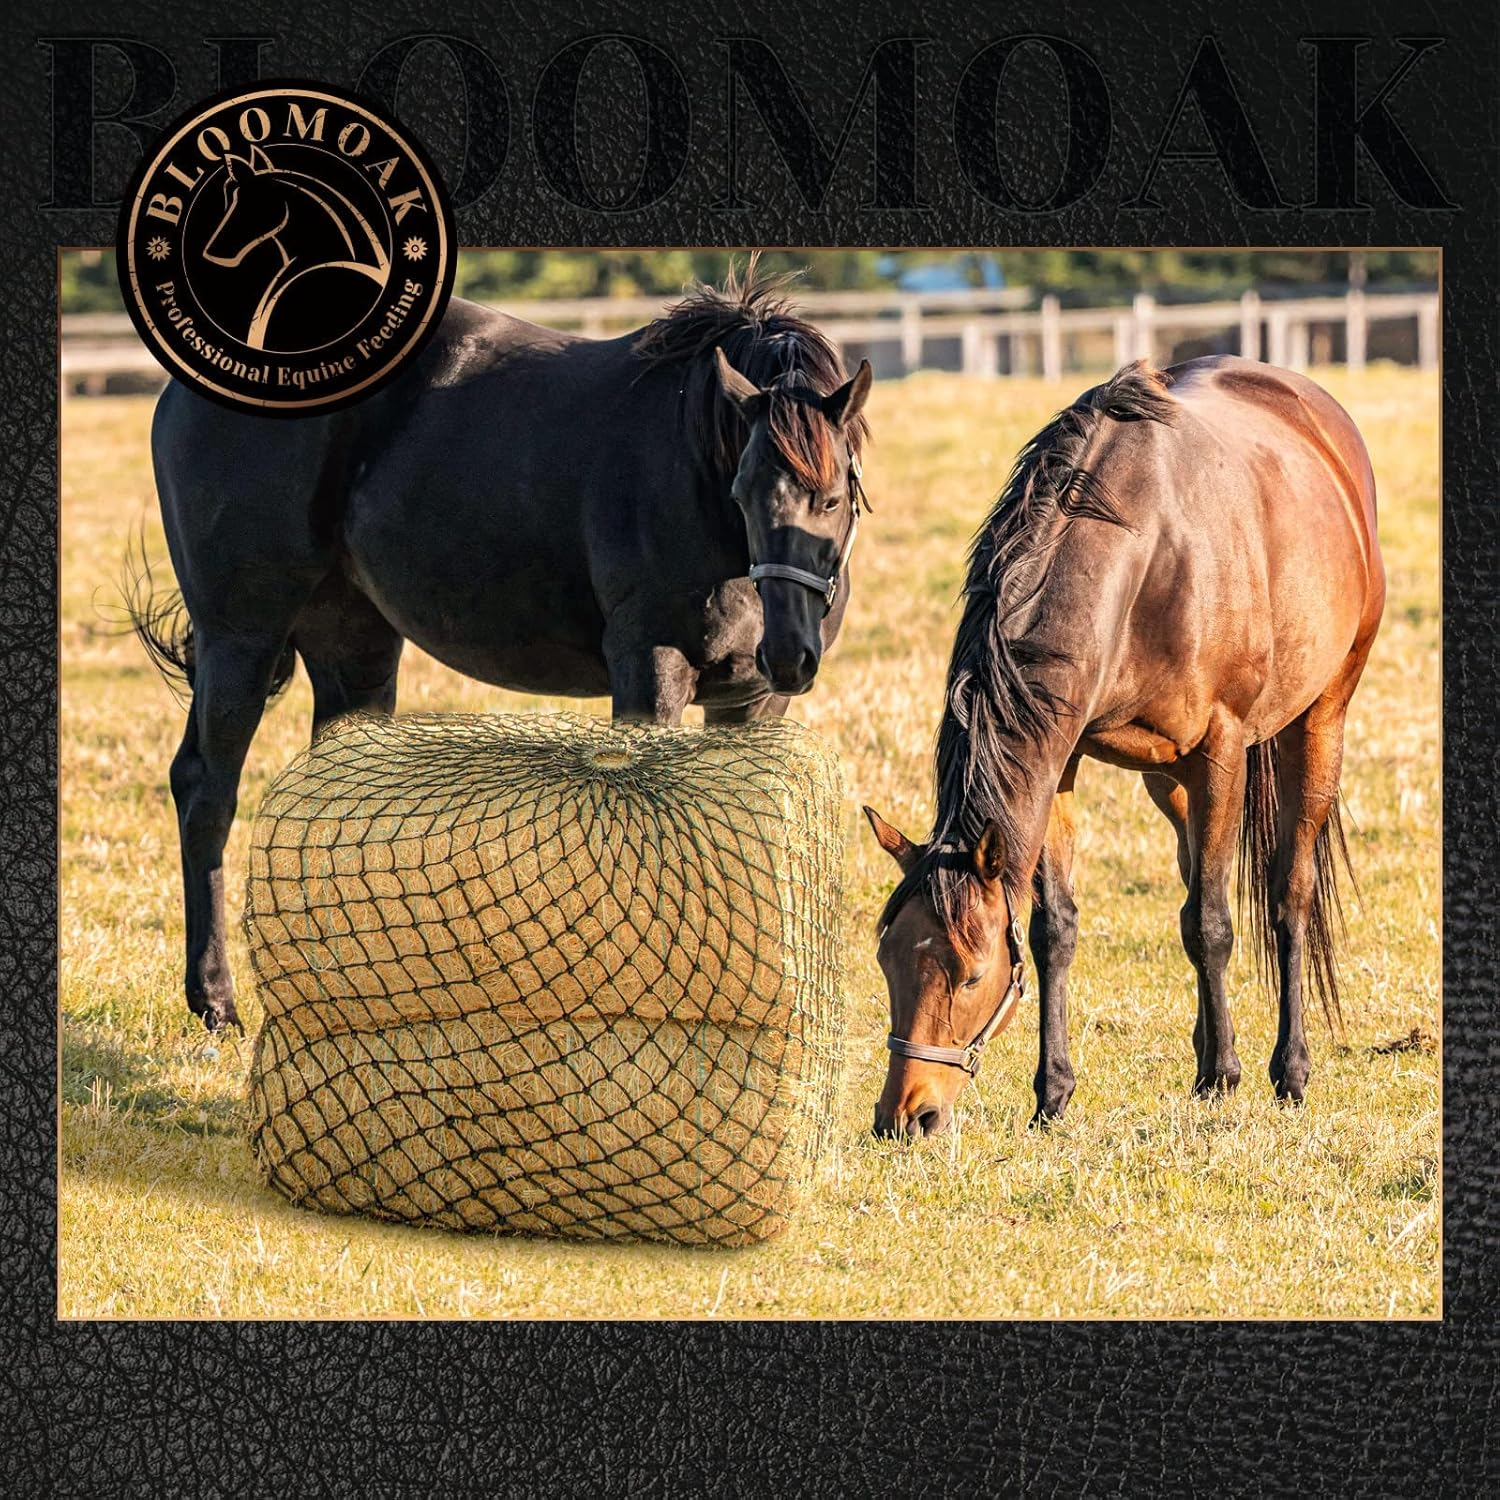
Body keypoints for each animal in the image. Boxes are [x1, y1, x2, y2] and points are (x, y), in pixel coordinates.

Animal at [128, 263, 873, 1030]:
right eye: (742, 488)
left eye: (834, 495)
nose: (787, 654)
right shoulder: (650, 673)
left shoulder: (751, 704)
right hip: (241, 638)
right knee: (207, 792)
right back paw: (216, 1000)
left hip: (353, 645)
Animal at [863, 356, 1384, 1137]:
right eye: (887, 960)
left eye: (972, 973)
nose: (905, 1115)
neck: (1147, 555)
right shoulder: (1063, 756)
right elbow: (1057, 929)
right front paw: (1052, 1095)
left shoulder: (1222, 747)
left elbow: (1214, 923)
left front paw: (1222, 1077)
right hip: (1168, 780)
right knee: (1195, 876)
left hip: (1320, 718)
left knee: (1287, 894)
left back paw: (1286, 1071)